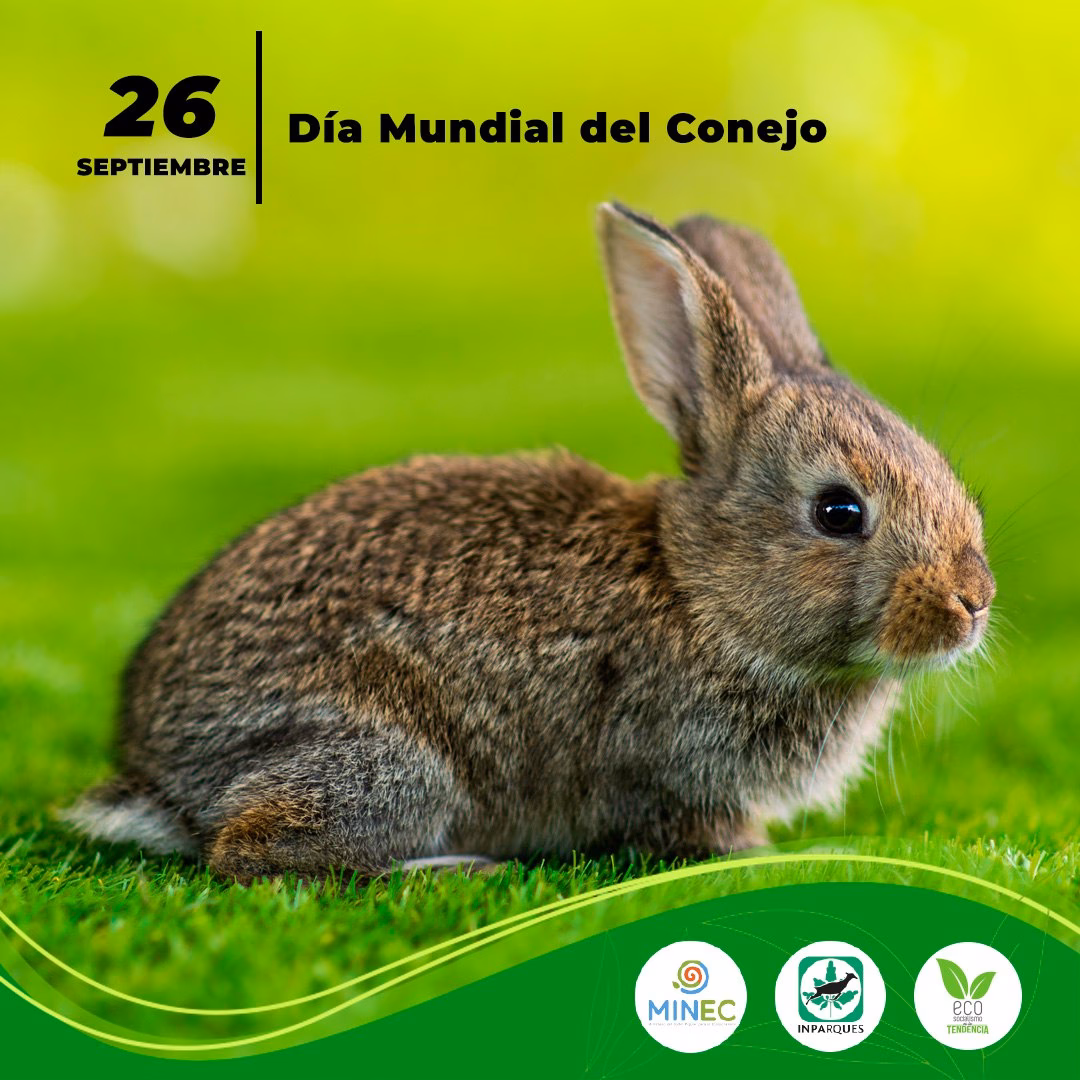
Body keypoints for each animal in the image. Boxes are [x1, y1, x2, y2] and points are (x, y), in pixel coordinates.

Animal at [62, 202, 995, 883]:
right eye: (839, 512)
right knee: (253, 854)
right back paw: (446, 867)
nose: (973, 601)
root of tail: (162, 780)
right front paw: (758, 852)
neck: (698, 592)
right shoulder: (662, 762)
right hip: (389, 764)